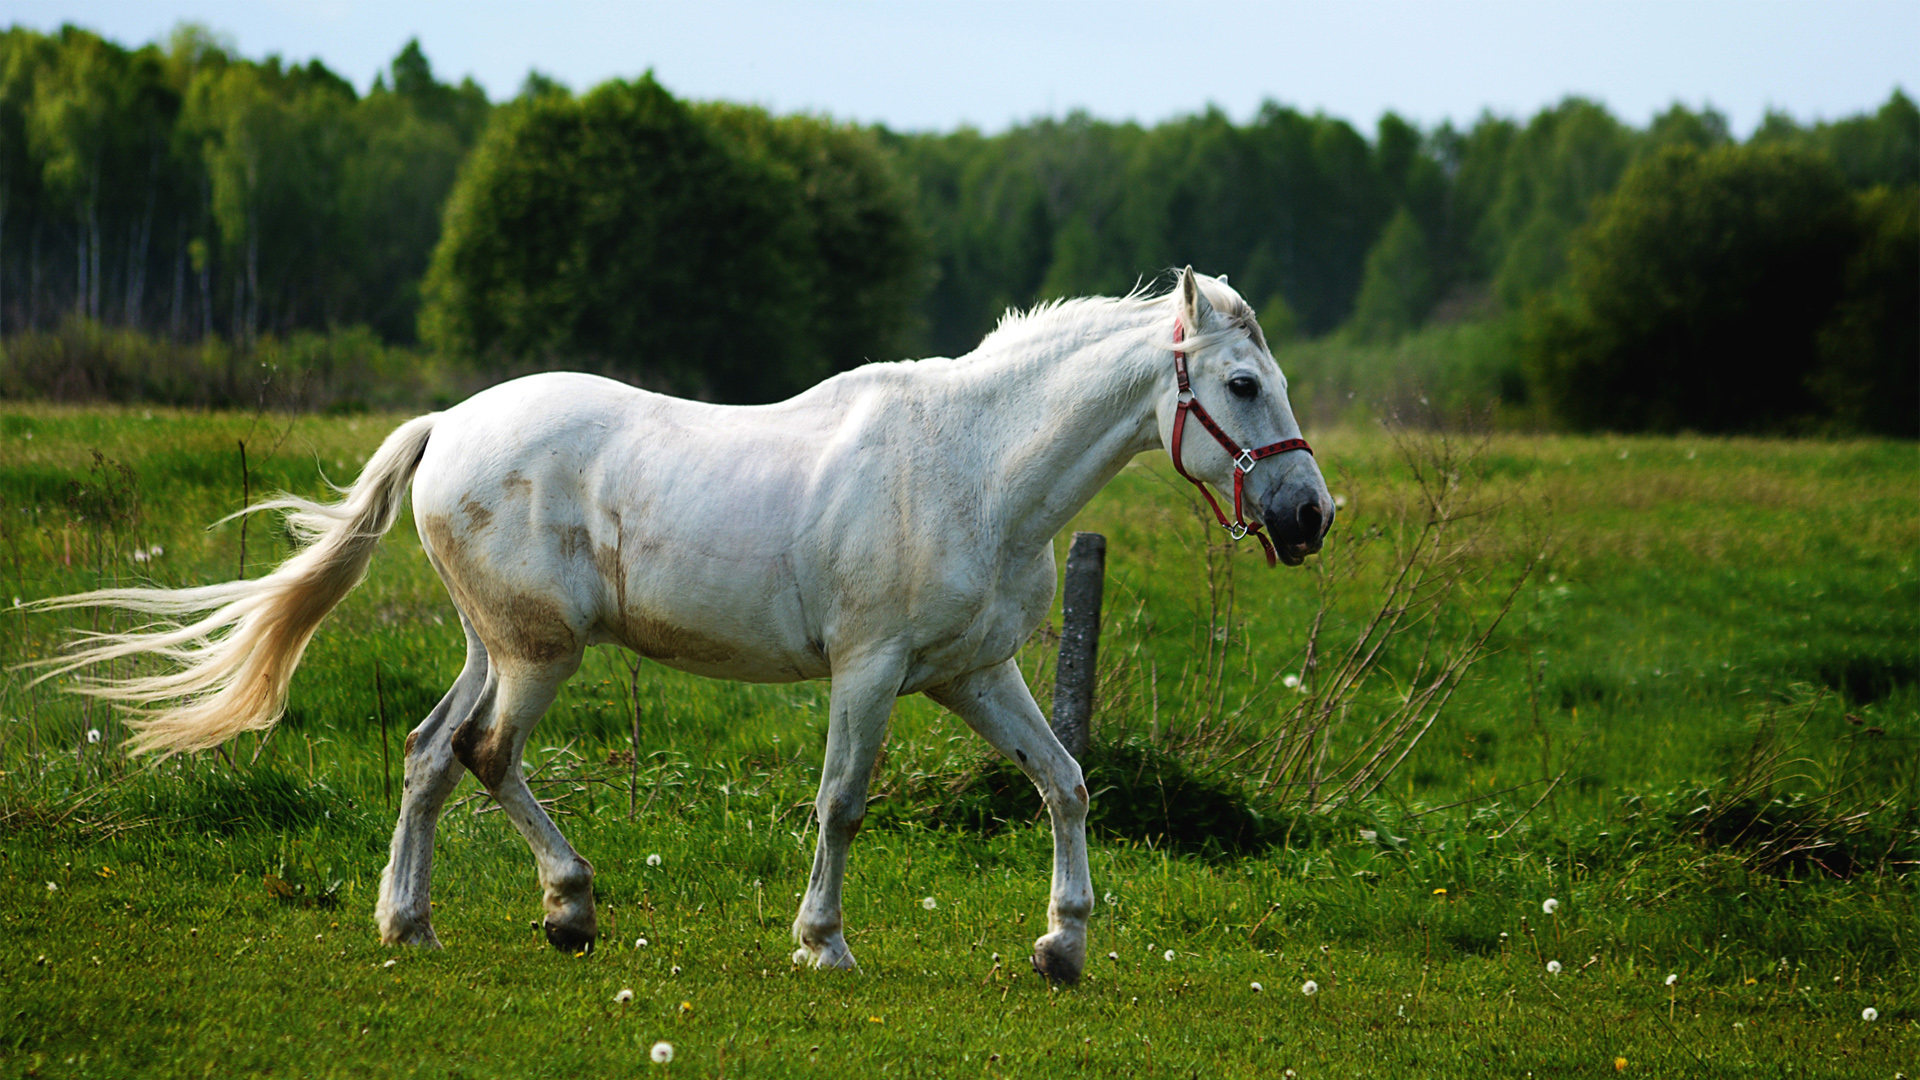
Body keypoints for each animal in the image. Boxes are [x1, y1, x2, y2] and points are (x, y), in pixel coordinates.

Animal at [45, 267, 1336, 976]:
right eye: (1239, 386)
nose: (1309, 516)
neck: (972, 466)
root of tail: (447, 424)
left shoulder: (975, 673)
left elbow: (1064, 783)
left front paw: (1062, 947)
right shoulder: (869, 672)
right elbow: (842, 803)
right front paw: (823, 943)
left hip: (495, 644)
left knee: (427, 754)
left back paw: (407, 923)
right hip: (540, 654)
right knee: (485, 753)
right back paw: (568, 908)